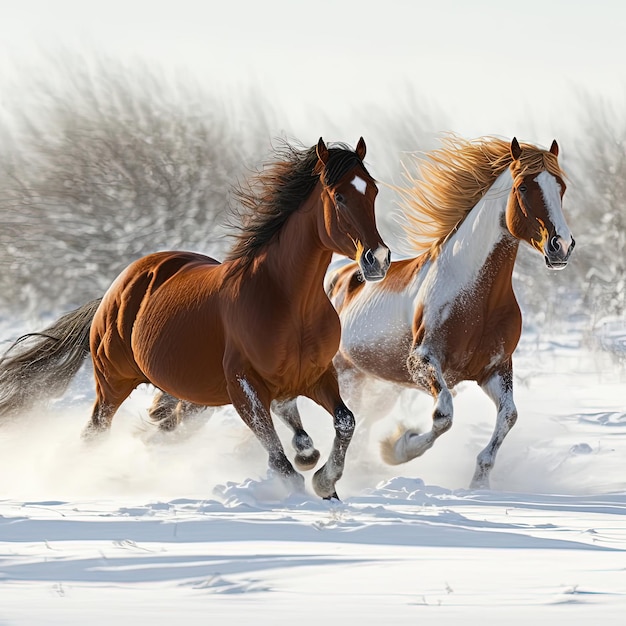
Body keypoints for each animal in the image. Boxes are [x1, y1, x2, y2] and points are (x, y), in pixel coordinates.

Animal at [0, 136, 388, 498]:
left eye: (372, 191)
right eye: (339, 197)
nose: (378, 260)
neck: (288, 303)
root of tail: (114, 291)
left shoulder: (317, 375)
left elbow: (346, 421)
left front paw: (326, 482)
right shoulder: (244, 386)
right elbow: (281, 464)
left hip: (194, 397)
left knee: (166, 426)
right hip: (113, 382)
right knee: (97, 431)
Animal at [270, 134, 572, 490]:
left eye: (561, 186)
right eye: (523, 187)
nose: (561, 246)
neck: (475, 295)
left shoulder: (495, 370)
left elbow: (508, 417)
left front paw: (480, 484)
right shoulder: (422, 362)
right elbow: (444, 415)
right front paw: (397, 448)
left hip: (378, 383)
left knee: (362, 419)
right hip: (345, 375)